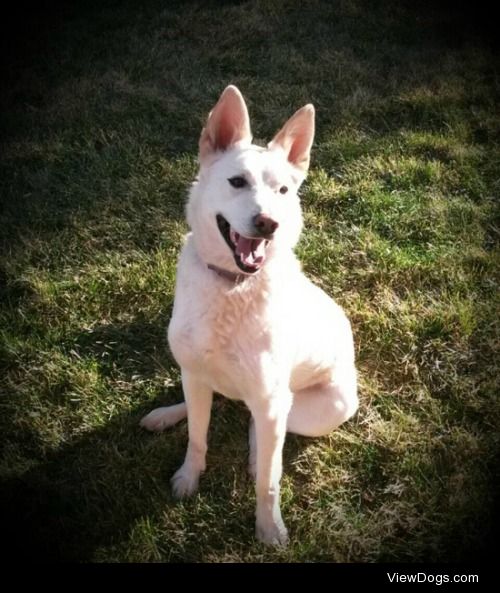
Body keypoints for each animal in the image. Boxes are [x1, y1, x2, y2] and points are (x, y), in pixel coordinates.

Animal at [142, 85, 360, 544]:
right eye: (237, 181)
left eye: (284, 191)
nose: (268, 224)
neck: (233, 287)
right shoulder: (195, 372)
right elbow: (197, 437)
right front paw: (188, 477)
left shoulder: (270, 399)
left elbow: (269, 480)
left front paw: (268, 525)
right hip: (202, 377)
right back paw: (167, 414)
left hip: (321, 407)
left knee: (258, 430)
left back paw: (258, 450)